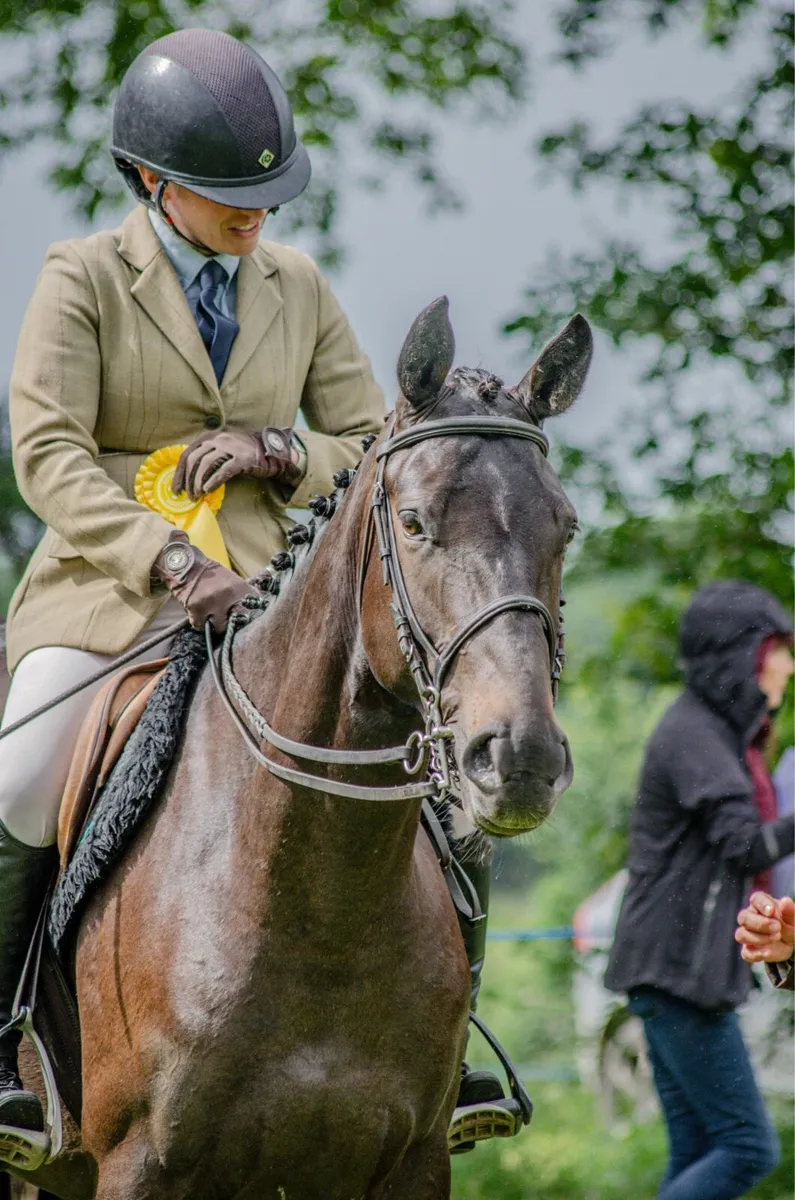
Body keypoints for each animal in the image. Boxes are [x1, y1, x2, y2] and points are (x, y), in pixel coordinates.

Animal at [7, 298, 592, 1200]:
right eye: (413, 523)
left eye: (564, 528)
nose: (519, 759)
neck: (319, 904)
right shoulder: (139, 1165)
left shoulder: (408, 1165)